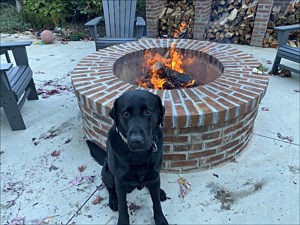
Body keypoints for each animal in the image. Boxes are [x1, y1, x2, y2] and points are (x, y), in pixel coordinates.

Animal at [89, 89, 169, 225]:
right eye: (125, 113)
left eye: (147, 111)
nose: (136, 141)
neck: (138, 155)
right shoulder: (120, 181)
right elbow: (122, 206)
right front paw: (122, 221)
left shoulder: (154, 174)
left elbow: (156, 202)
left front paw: (160, 219)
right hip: (107, 173)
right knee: (109, 186)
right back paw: (113, 200)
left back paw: (160, 191)